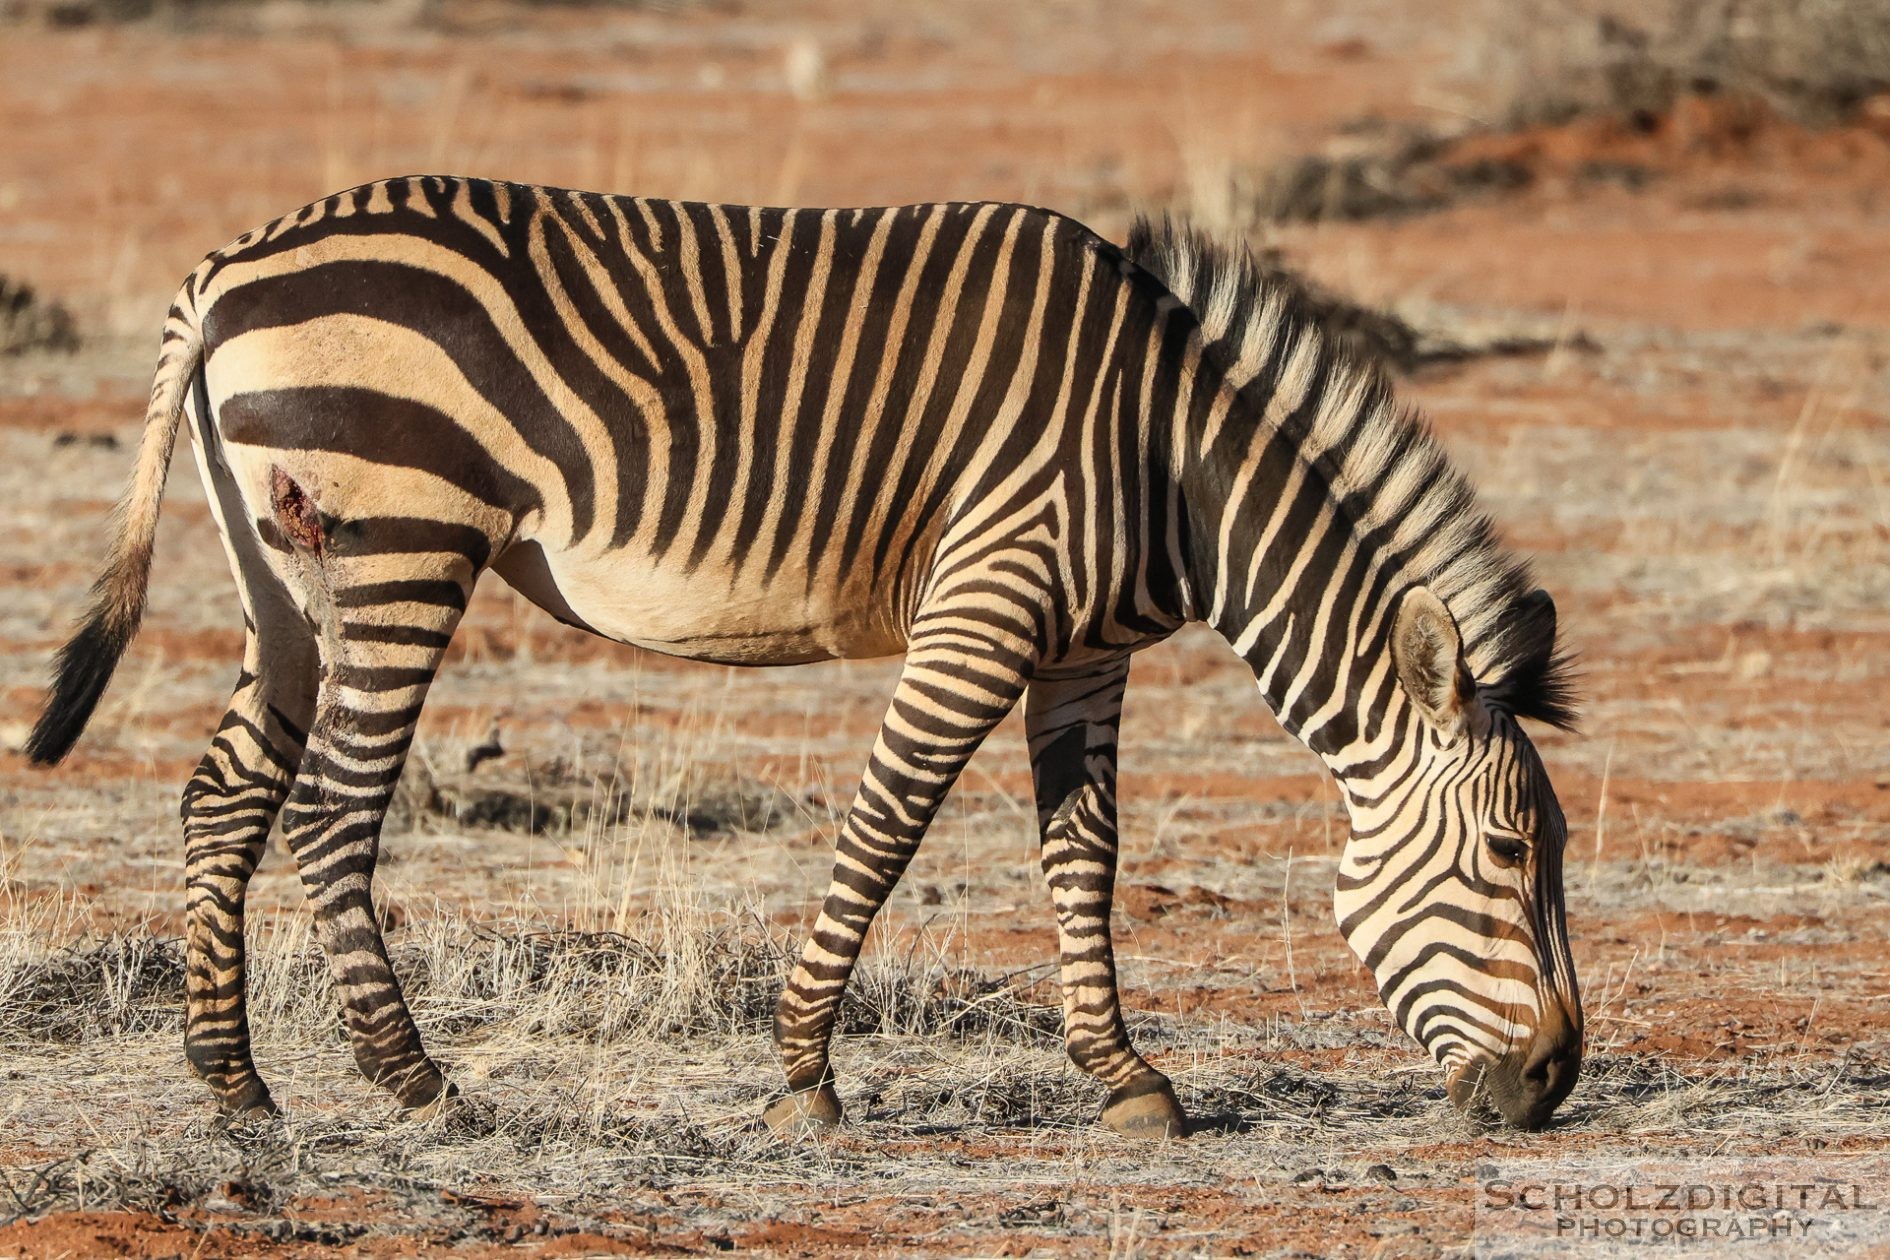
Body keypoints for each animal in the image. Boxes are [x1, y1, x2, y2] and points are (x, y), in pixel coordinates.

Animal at [25, 179, 1580, 1140]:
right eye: (1511, 856)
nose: (1556, 1083)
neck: (1169, 460)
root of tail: (227, 268)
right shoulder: (987, 600)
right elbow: (887, 827)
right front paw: (801, 1076)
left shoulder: (1083, 652)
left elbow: (1084, 854)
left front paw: (1125, 1076)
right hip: (403, 538)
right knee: (333, 810)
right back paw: (415, 1083)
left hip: (284, 571)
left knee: (226, 798)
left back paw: (234, 1087)